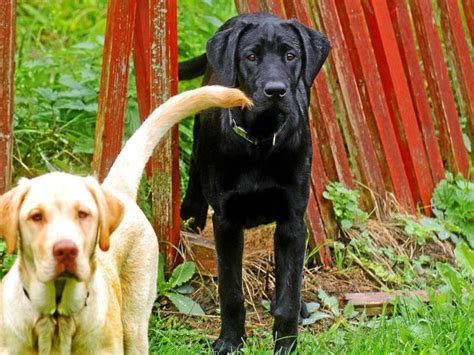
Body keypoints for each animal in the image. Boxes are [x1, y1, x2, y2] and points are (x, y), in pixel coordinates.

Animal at [179, 12, 330, 354]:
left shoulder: (292, 222)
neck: (260, 142)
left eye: (291, 56)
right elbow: (231, 290)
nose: (275, 91)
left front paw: (285, 344)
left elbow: (288, 292)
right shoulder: (226, 223)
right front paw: (230, 341)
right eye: (250, 57)